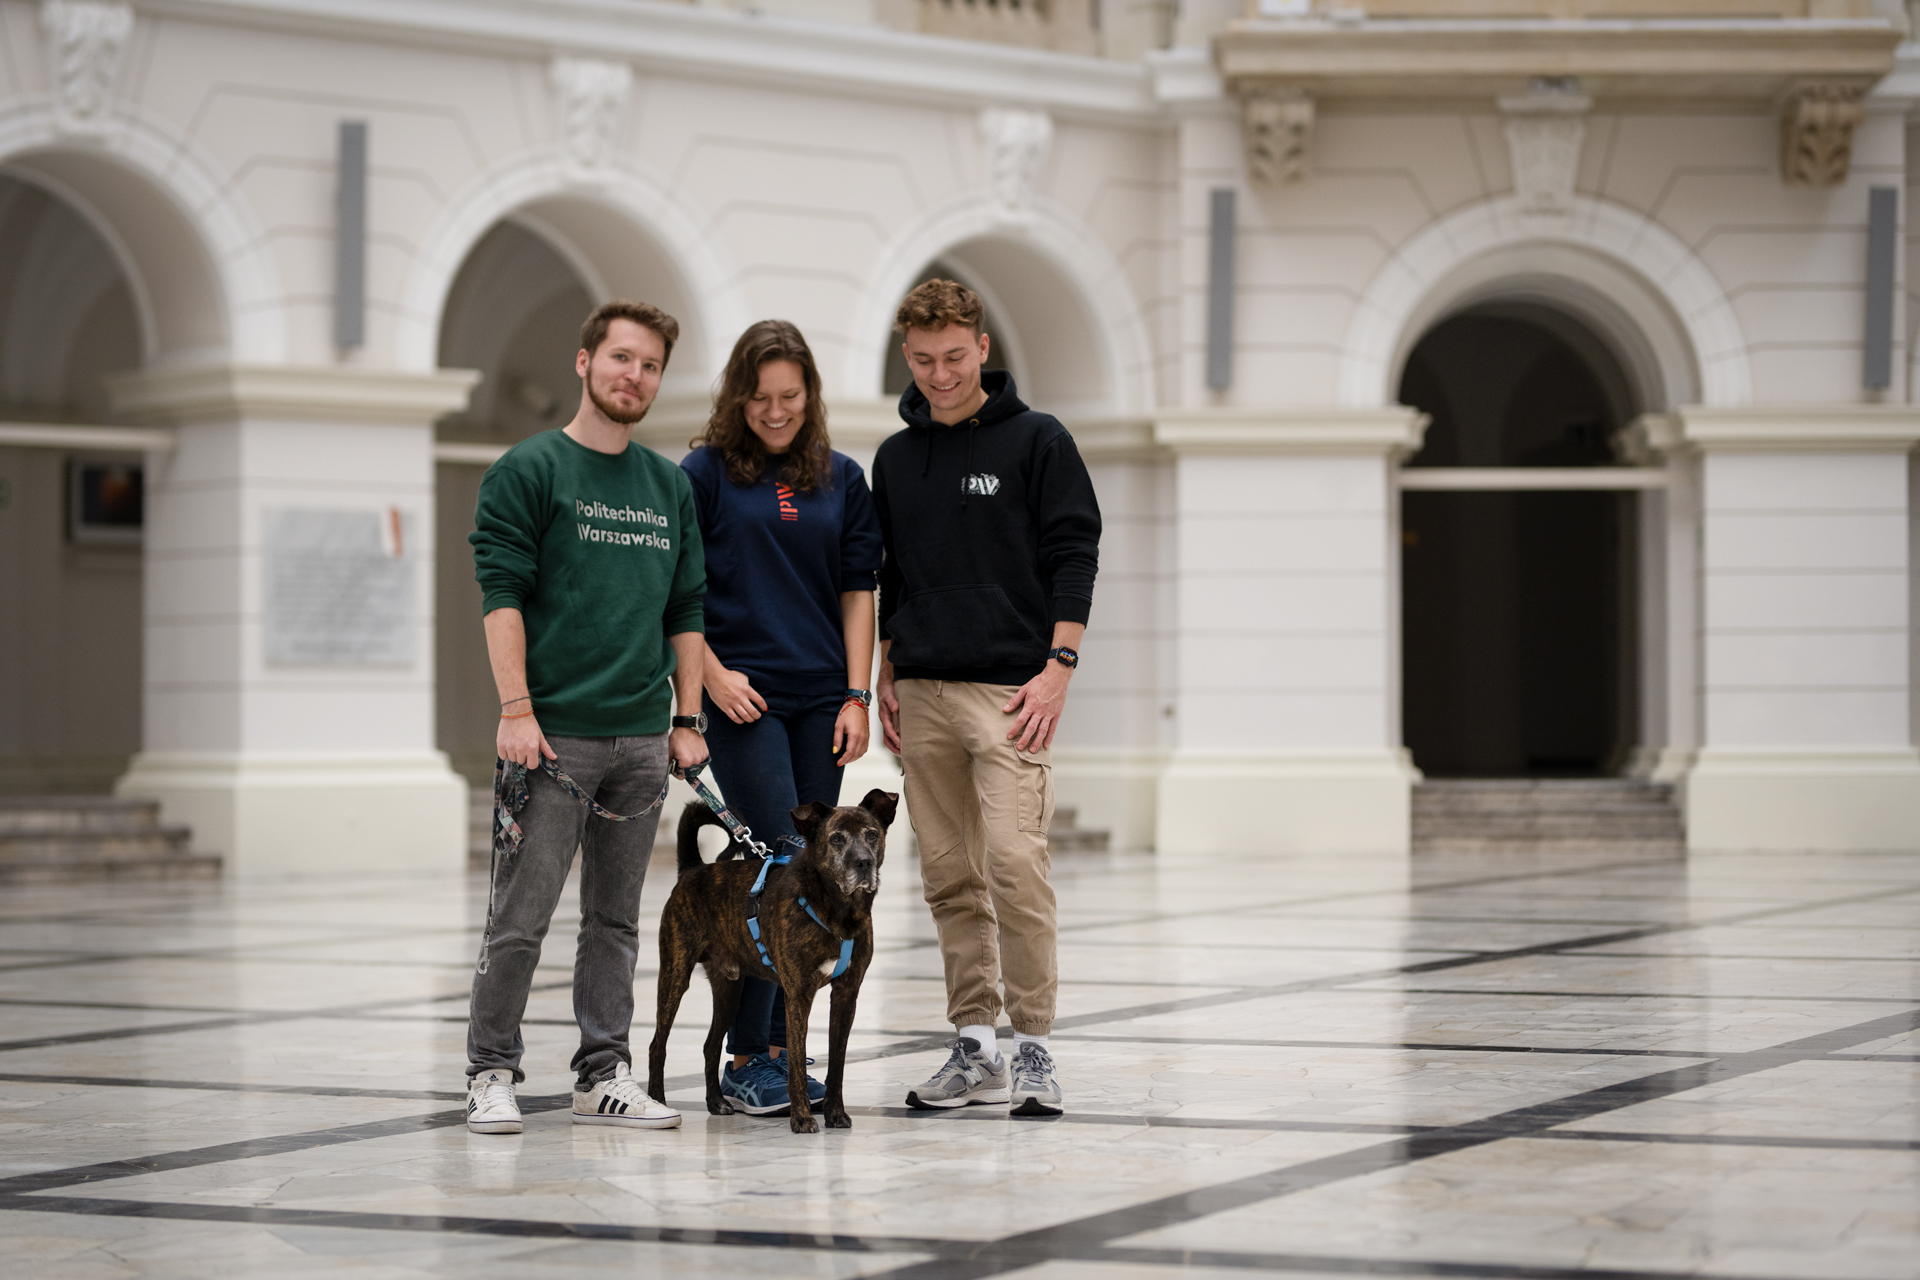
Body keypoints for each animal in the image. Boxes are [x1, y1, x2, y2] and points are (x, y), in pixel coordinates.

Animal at [637, 790, 890, 1128]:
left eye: (872, 834)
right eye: (836, 838)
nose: (864, 862)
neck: (837, 912)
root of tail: (693, 869)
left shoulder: (846, 994)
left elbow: (837, 1062)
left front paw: (835, 1112)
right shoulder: (798, 994)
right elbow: (796, 1061)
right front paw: (801, 1118)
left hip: (729, 989)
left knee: (710, 1046)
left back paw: (716, 1102)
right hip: (674, 974)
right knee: (657, 1044)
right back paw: (658, 1099)